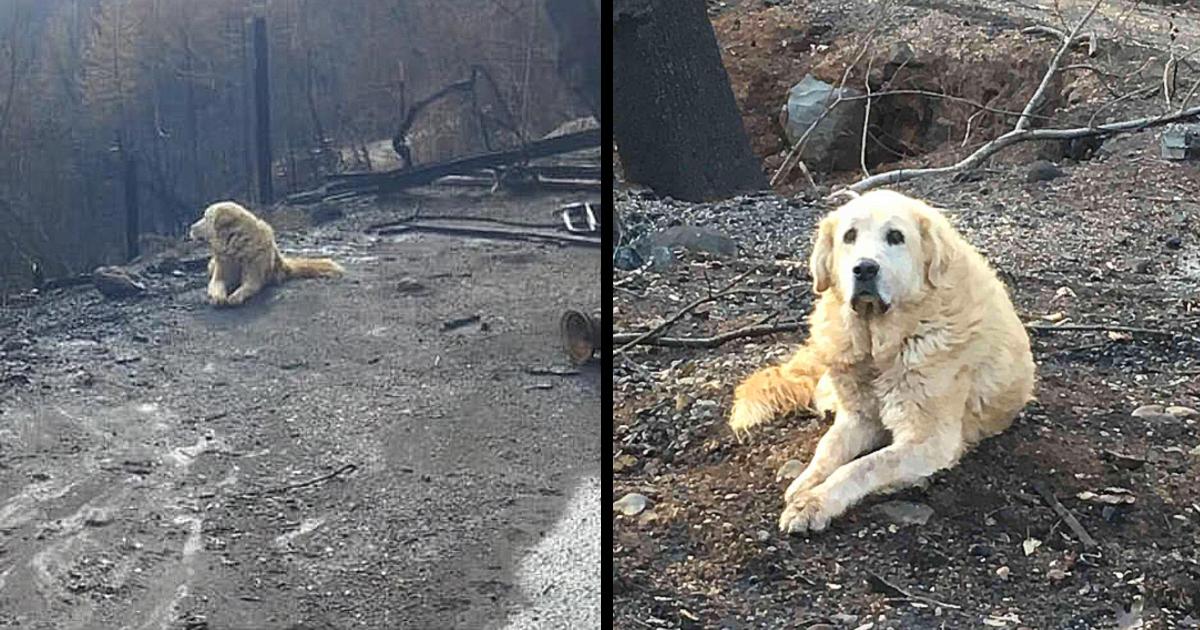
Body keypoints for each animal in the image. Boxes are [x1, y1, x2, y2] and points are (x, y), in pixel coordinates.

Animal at [187, 200, 345, 306]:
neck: (235, 245)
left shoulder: (254, 276)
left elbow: (247, 286)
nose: (191, 227)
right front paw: (218, 297)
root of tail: (284, 263)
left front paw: (235, 297)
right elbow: (217, 284)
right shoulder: (222, 270)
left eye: (206, 218)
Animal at [724, 189, 1036, 532]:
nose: (864, 269)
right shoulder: (857, 418)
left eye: (896, 236)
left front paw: (814, 503)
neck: (880, 344)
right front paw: (805, 483)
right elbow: (828, 448)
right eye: (849, 236)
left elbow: (863, 466)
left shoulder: (929, 440)